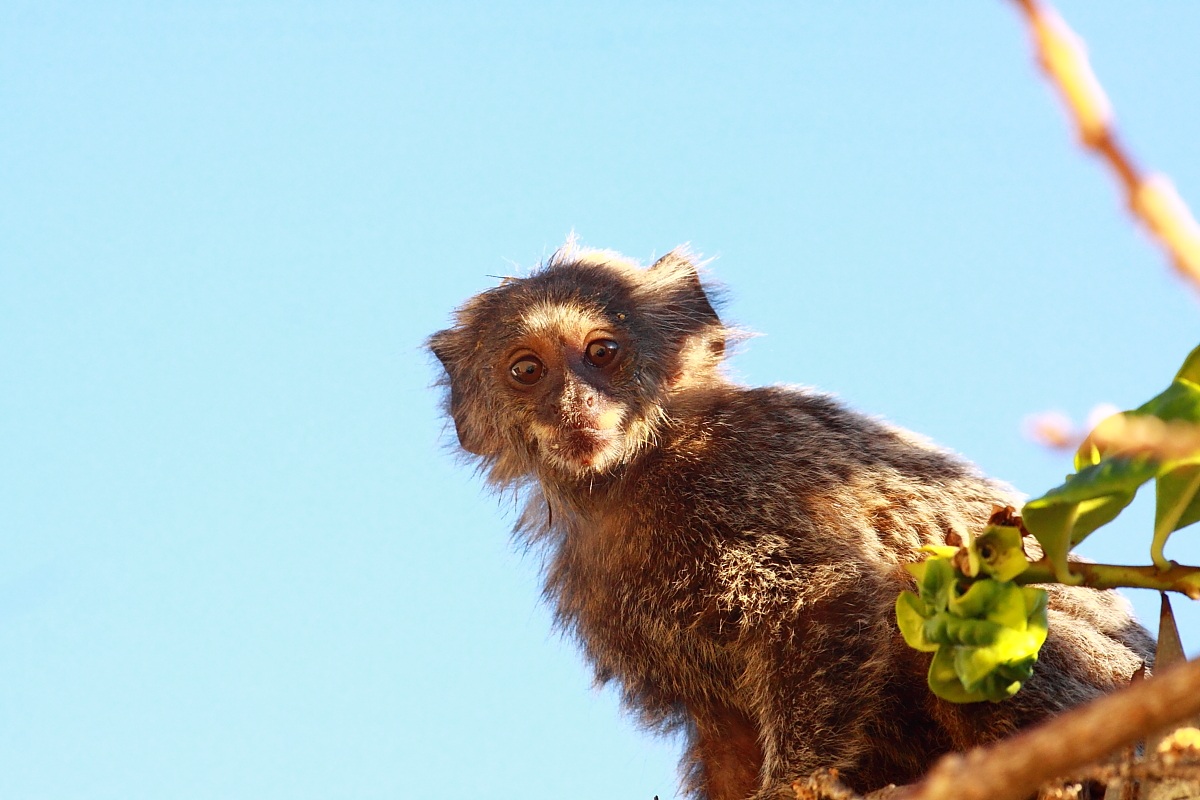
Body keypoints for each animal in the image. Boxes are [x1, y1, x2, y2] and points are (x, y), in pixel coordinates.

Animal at [428, 242, 1154, 799]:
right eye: (528, 371)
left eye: (600, 353)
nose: (574, 402)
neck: (640, 472)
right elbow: (722, 730)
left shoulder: (740, 479)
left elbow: (828, 601)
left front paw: (795, 787)